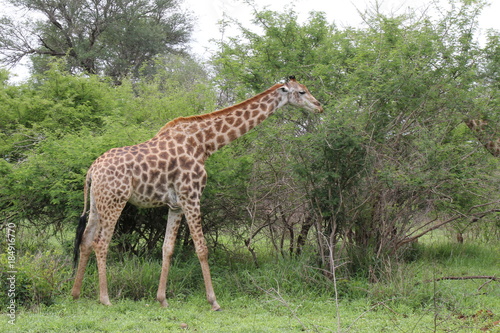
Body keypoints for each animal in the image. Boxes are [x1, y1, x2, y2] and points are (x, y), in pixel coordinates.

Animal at [71, 76, 324, 310]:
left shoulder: (176, 204)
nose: (319, 106)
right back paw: (105, 298)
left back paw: (75, 293)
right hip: (116, 200)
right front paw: (214, 301)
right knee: (101, 243)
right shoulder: (192, 195)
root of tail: (92, 170)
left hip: (98, 203)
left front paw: (162, 299)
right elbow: (202, 248)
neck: (204, 143)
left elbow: (167, 248)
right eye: (302, 91)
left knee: (86, 240)